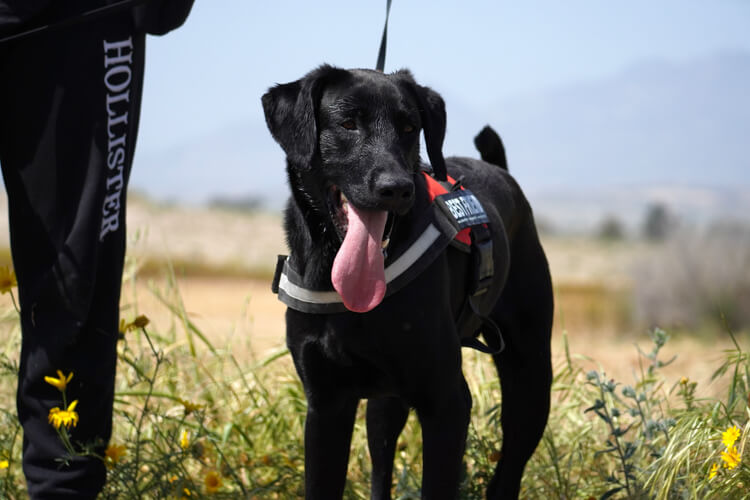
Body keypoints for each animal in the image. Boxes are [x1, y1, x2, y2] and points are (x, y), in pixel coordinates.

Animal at [262, 66, 552, 500]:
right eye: (348, 123)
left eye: (410, 128)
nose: (397, 188)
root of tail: (502, 172)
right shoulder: (326, 405)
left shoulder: (447, 402)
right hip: (387, 404)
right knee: (382, 465)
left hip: (530, 378)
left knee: (509, 470)